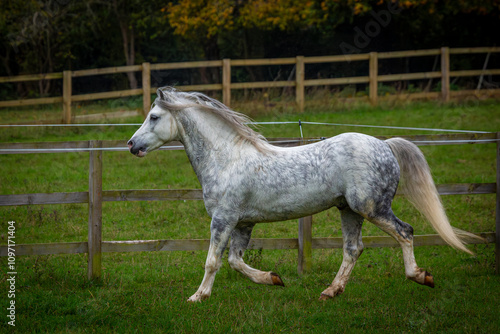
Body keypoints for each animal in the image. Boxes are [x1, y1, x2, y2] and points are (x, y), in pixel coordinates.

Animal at [127, 87, 478, 302]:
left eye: (154, 117)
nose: (132, 145)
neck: (227, 158)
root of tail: (385, 145)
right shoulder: (243, 223)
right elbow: (236, 262)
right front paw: (274, 279)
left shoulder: (223, 219)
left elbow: (213, 261)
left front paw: (198, 297)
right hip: (349, 210)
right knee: (353, 249)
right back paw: (330, 292)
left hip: (372, 207)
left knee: (405, 232)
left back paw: (420, 276)